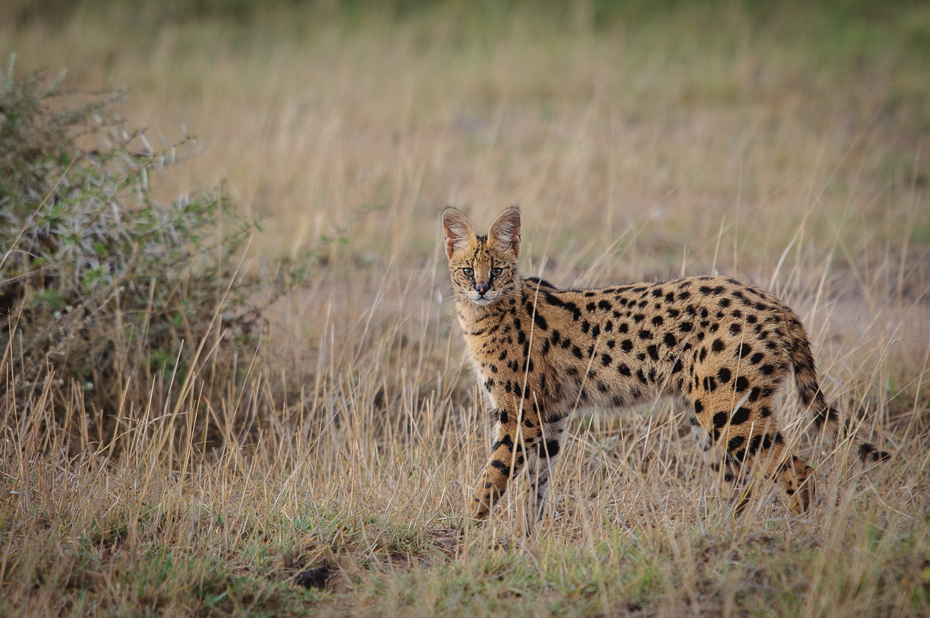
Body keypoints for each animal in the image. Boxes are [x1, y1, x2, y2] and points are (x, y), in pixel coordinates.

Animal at [446, 205, 888, 516]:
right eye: (467, 270)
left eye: (497, 270)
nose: (481, 288)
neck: (483, 313)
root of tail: (777, 304)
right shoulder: (550, 417)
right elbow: (534, 491)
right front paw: (529, 542)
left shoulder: (520, 415)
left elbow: (492, 478)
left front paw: (469, 538)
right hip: (710, 412)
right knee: (742, 486)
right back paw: (727, 537)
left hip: (729, 410)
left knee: (799, 473)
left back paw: (793, 541)